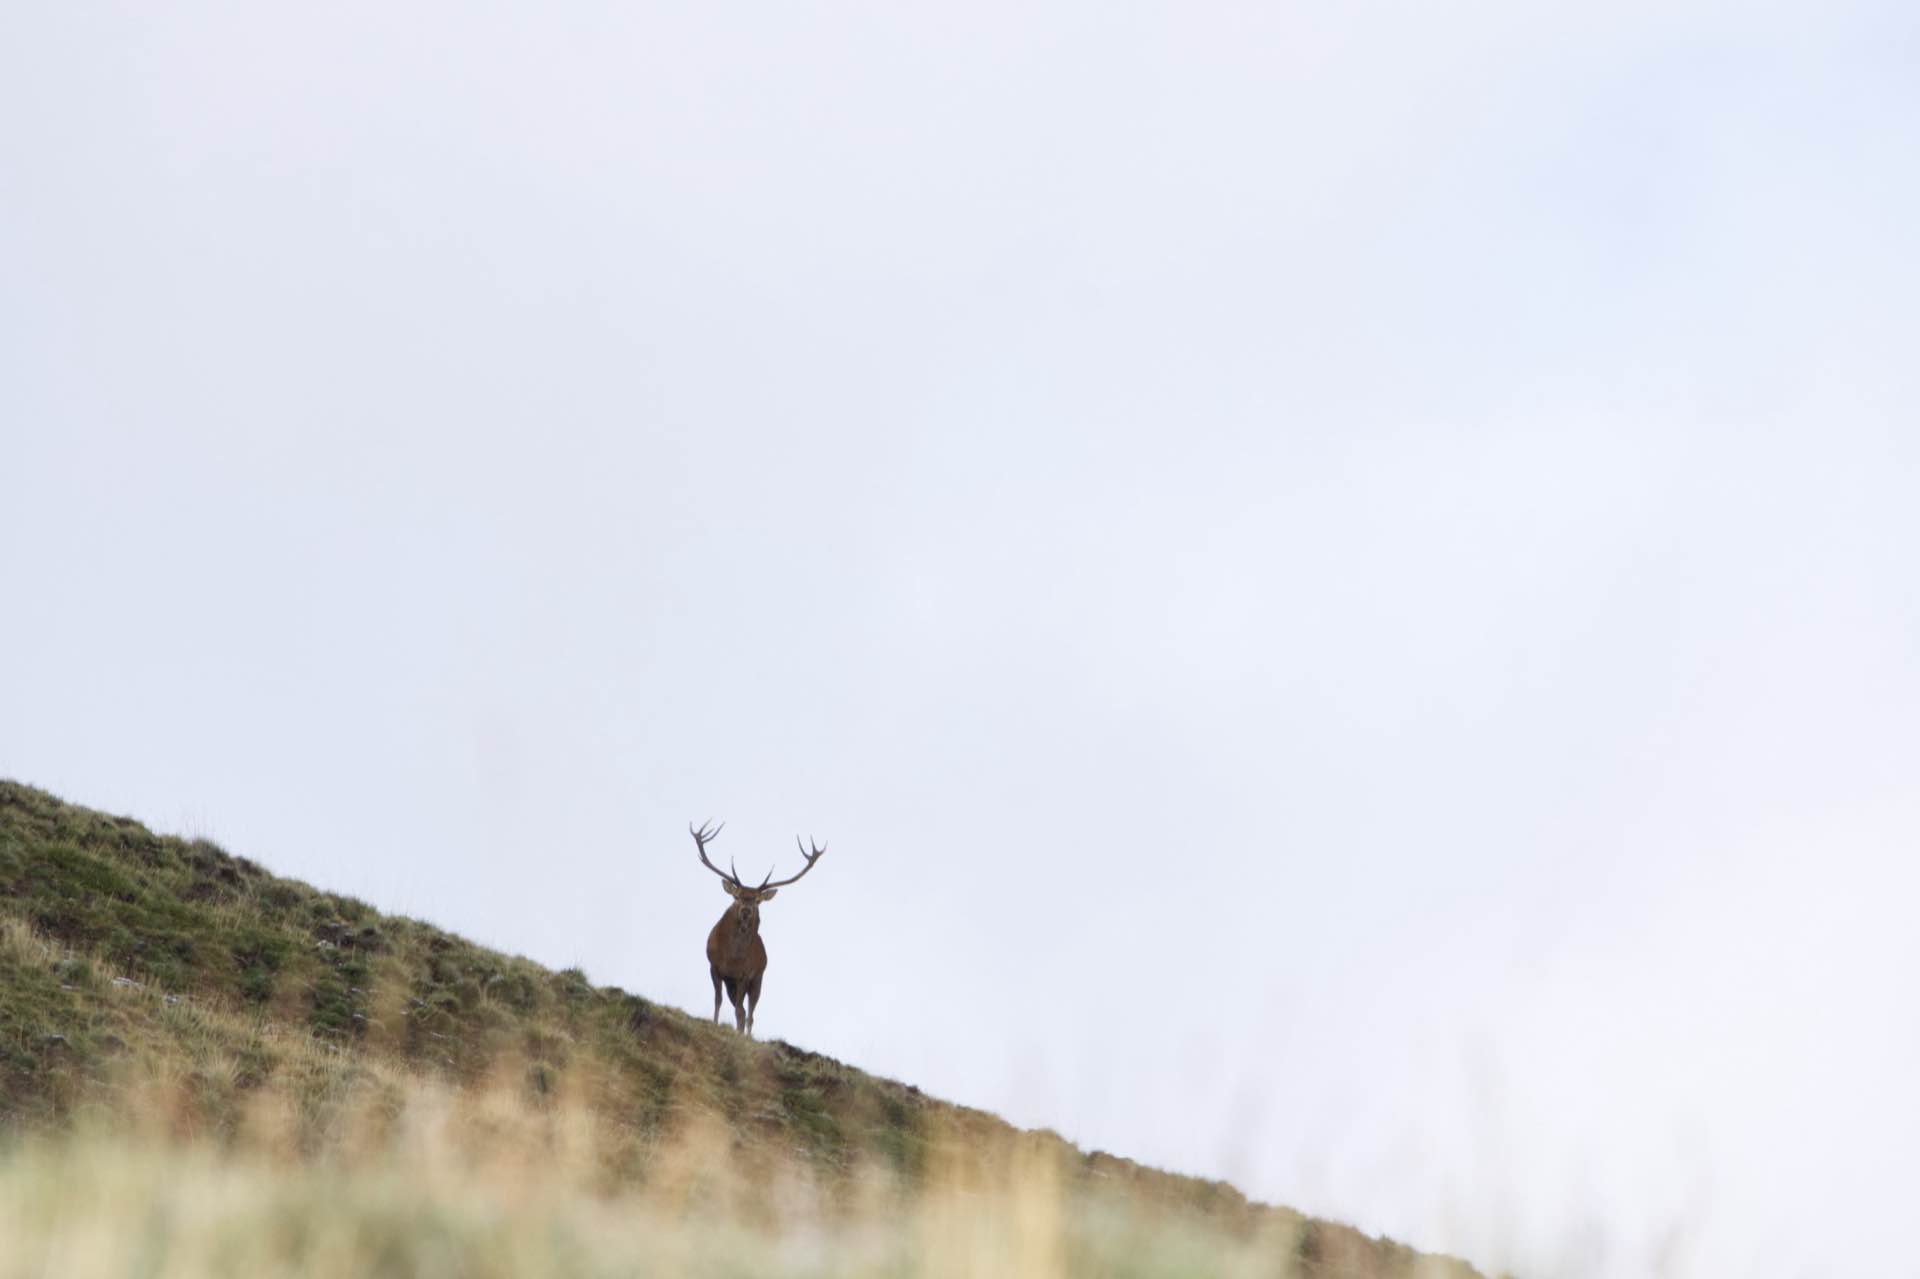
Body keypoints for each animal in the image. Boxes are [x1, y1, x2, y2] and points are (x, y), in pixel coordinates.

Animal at [689, 820, 827, 1037]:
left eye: (757, 901)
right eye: (737, 896)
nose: (746, 910)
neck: (732, 958)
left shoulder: (745, 975)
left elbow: (740, 1011)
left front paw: (739, 1035)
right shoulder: (714, 966)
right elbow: (718, 1001)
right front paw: (715, 1023)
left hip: (758, 978)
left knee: (749, 1012)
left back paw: (746, 1034)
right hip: (733, 983)